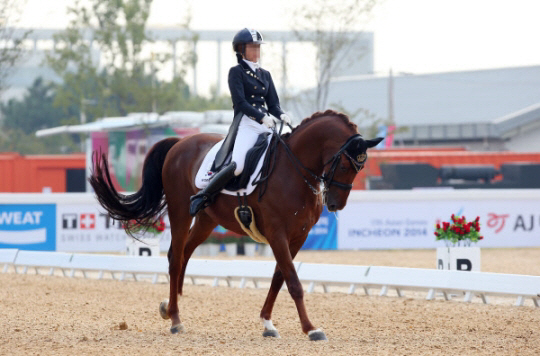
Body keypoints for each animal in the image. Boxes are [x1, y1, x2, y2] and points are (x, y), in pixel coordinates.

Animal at [89, 110, 384, 340]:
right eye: (345, 165)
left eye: (360, 167)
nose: (335, 204)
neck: (294, 171)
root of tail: (180, 143)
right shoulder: (277, 233)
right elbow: (293, 282)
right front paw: (311, 329)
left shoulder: (298, 236)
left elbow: (279, 278)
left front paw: (268, 324)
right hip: (180, 212)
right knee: (175, 258)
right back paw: (175, 320)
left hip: (206, 220)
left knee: (184, 254)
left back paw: (169, 306)